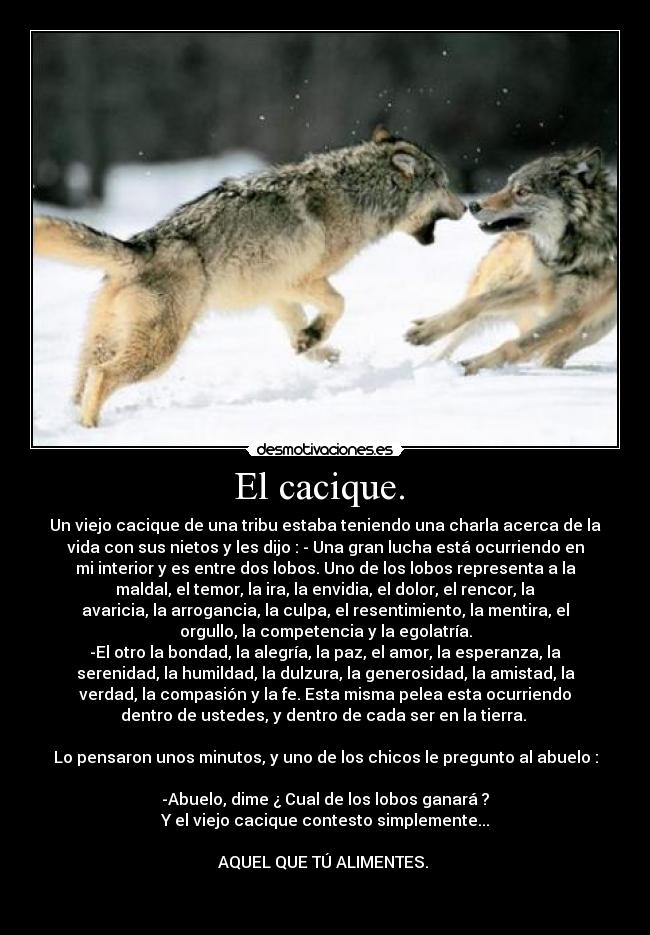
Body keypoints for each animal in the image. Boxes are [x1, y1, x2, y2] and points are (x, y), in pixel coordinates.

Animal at [33, 125, 465, 426]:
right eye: (445, 185)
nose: (465, 207)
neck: (358, 194)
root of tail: (139, 245)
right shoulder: (301, 280)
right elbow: (340, 304)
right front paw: (315, 339)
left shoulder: (275, 291)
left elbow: (297, 329)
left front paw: (313, 346)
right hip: (159, 353)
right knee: (103, 376)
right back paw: (93, 428)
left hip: (105, 343)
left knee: (83, 383)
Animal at [405, 147, 617, 374]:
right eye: (507, 185)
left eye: (522, 192)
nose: (473, 205)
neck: (569, 254)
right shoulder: (537, 284)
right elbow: (477, 302)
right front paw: (425, 331)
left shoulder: (571, 313)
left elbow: (516, 346)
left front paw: (476, 366)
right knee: (454, 336)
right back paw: (427, 362)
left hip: (597, 327)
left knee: (552, 352)